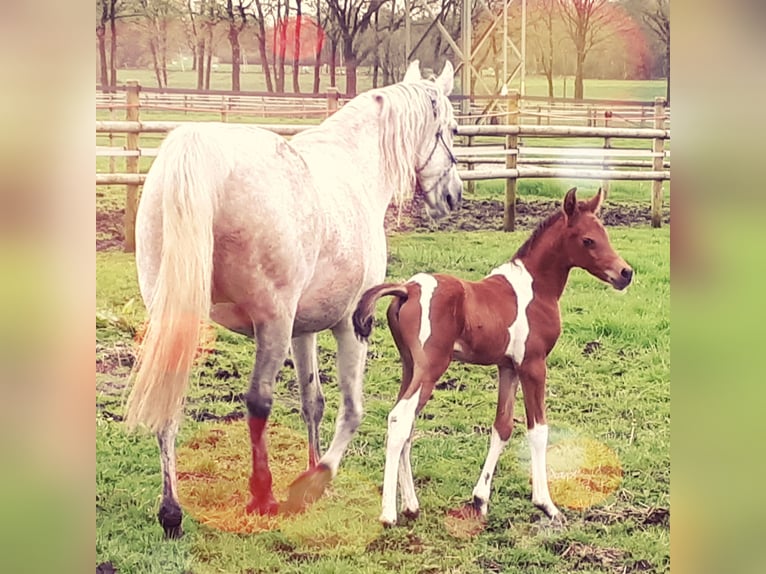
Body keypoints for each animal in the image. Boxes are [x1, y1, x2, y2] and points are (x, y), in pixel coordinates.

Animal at [125, 60, 462, 536]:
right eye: (451, 129)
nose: (453, 196)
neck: (356, 167)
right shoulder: (350, 324)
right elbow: (352, 410)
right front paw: (315, 481)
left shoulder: (306, 329)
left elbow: (312, 402)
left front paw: (311, 468)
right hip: (273, 325)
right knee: (258, 400)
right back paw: (262, 496)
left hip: (178, 319)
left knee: (170, 400)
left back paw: (171, 511)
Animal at [354, 188, 636, 528]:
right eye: (587, 240)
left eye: (605, 235)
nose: (625, 273)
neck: (535, 288)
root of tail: (408, 289)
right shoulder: (533, 365)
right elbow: (538, 429)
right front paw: (547, 505)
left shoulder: (508, 367)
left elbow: (502, 427)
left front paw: (480, 500)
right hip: (431, 368)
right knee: (400, 419)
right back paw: (389, 513)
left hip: (411, 367)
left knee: (407, 425)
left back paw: (411, 506)